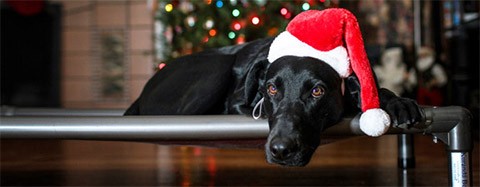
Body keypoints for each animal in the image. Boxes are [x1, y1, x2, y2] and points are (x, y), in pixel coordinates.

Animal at [124, 38, 420, 167]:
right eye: (271, 89)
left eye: (317, 91)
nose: (281, 150)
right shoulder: (238, 102)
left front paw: (397, 101)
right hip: (215, 69)